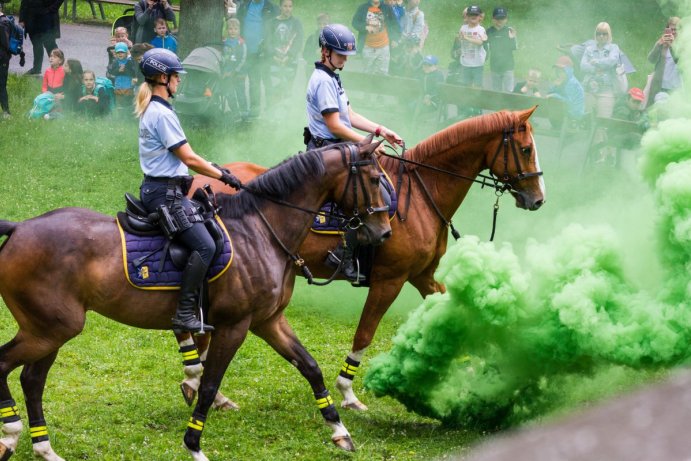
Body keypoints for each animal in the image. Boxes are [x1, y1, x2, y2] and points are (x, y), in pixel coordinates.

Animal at [0, 140, 392, 460]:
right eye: (375, 180)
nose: (384, 232)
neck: (261, 231)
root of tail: (20, 228)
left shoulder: (269, 321)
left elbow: (309, 366)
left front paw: (339, 430)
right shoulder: (235, 326)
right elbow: (208, 385)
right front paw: (193, 445)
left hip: (50, 331)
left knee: (32, 380)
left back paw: (43, 447)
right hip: (50, 330)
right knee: (7, 366)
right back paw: (12, 431)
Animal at [181, 107, 548, 410]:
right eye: (526, 149)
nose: (539, 199)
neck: (422, 193)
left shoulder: (422, 276)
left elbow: (449, 307)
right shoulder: (390, 280)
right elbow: (365, 333)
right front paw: (347, 390)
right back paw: (198, 379)